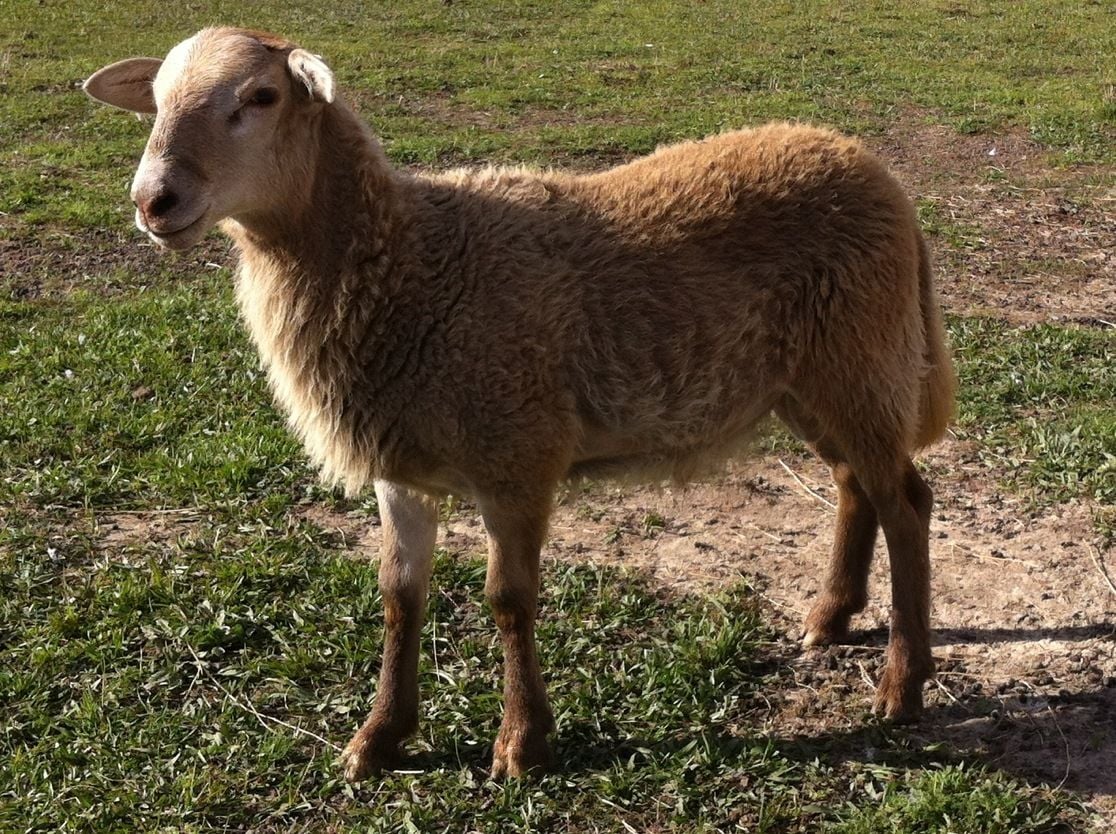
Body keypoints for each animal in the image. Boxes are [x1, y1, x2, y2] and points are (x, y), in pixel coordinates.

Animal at [84, 26, 956, 781]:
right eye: (155, 100)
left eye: (261, 97)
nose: (154, 201)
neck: (405, 264)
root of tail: (869, 167)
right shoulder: (401, 469)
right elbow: (398, 597)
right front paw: (379, 738)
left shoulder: (516, 453)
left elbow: (508, 599)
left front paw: (520, 743)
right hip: (810, 381)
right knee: (854, 485)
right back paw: (831, 618)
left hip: (859, 356)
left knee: (906, 501)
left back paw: (901, 686)